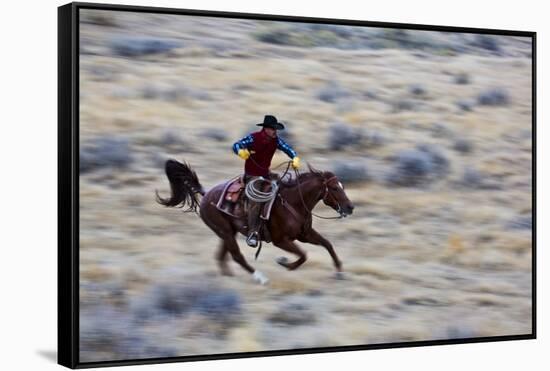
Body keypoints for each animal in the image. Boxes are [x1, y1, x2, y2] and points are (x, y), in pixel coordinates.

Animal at [156, 159, 354, 284]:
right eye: (335, 188)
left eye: (342, 186)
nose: (350, 207)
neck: (294, 203)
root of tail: (205, 195)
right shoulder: (281, 240)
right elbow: (303, 255)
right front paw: (284, 263)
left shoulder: (305, 234)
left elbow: (327, 244)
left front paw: (340, 271)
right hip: (225, 232)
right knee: (237, 256)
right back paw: (260, 277)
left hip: (227, 233)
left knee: (222, 256)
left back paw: (229, 278)